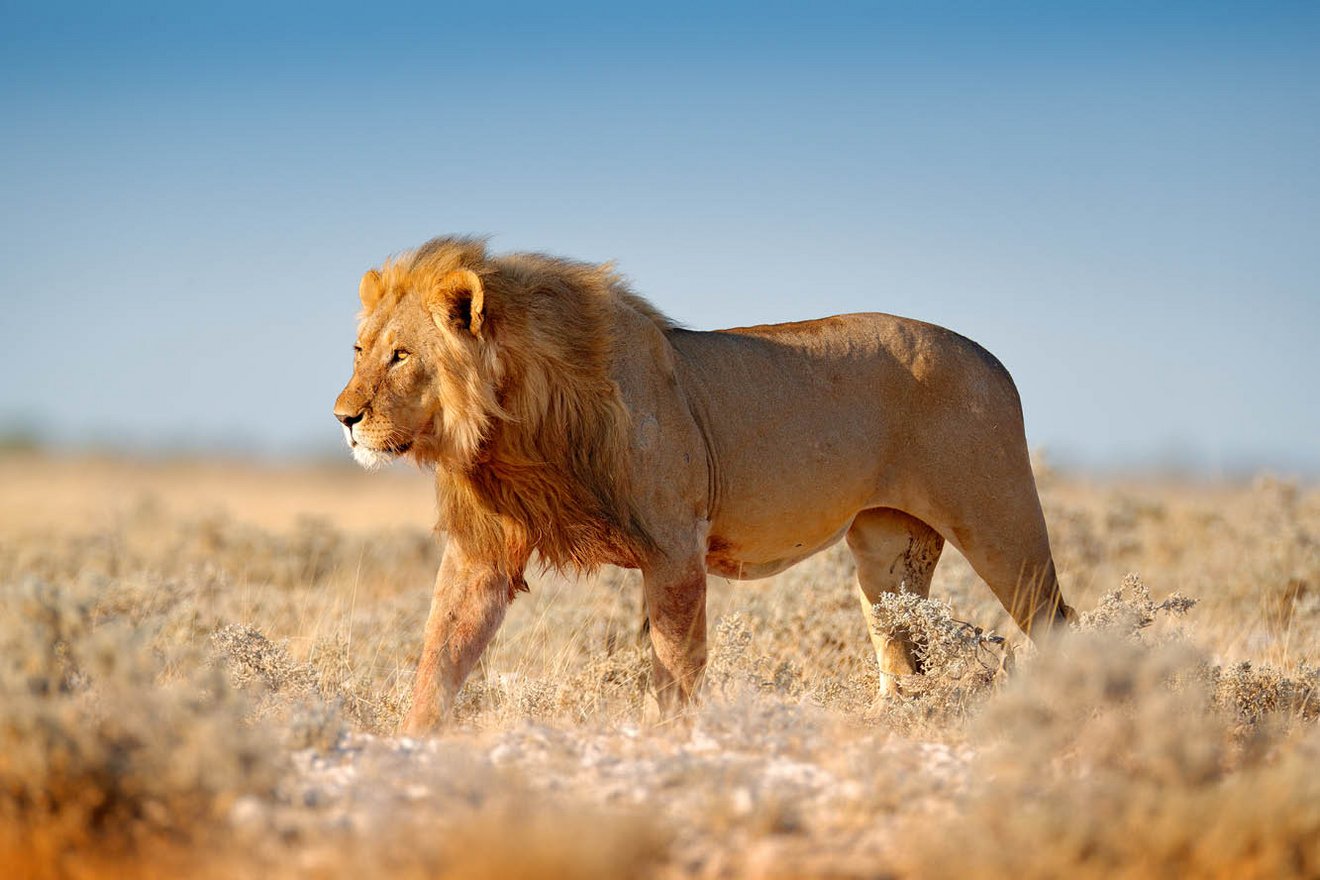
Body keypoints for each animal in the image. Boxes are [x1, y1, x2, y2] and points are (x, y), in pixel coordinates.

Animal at [330, 237, 1071, 733]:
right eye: (361, 351)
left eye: (401, 356)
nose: (344, 418)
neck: (510, 429)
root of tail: (994, 360)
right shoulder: (481, 552)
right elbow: (440, 653)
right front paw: (411, 747)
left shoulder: (675, 549)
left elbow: (673, 665)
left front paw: (670, 741)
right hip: (887, 552)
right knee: (902, 653)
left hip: (1000, 520)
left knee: (1057, 620)